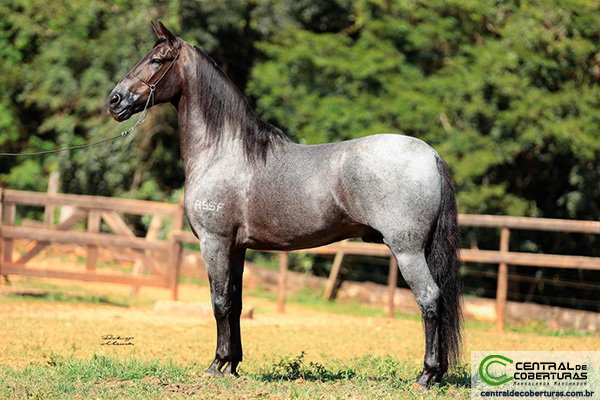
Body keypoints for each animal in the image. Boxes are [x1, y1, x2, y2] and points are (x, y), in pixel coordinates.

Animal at [109, 20, 464, 386]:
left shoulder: (214, 243)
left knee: (430, 300)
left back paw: (427, 375)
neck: (222, 151)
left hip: (407, 251)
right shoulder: (237, 248)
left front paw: (217, 365)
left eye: (156, 60)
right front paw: (232, 364)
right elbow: (235, 303)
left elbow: (219, 302)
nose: (114, 100)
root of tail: (430, 154)